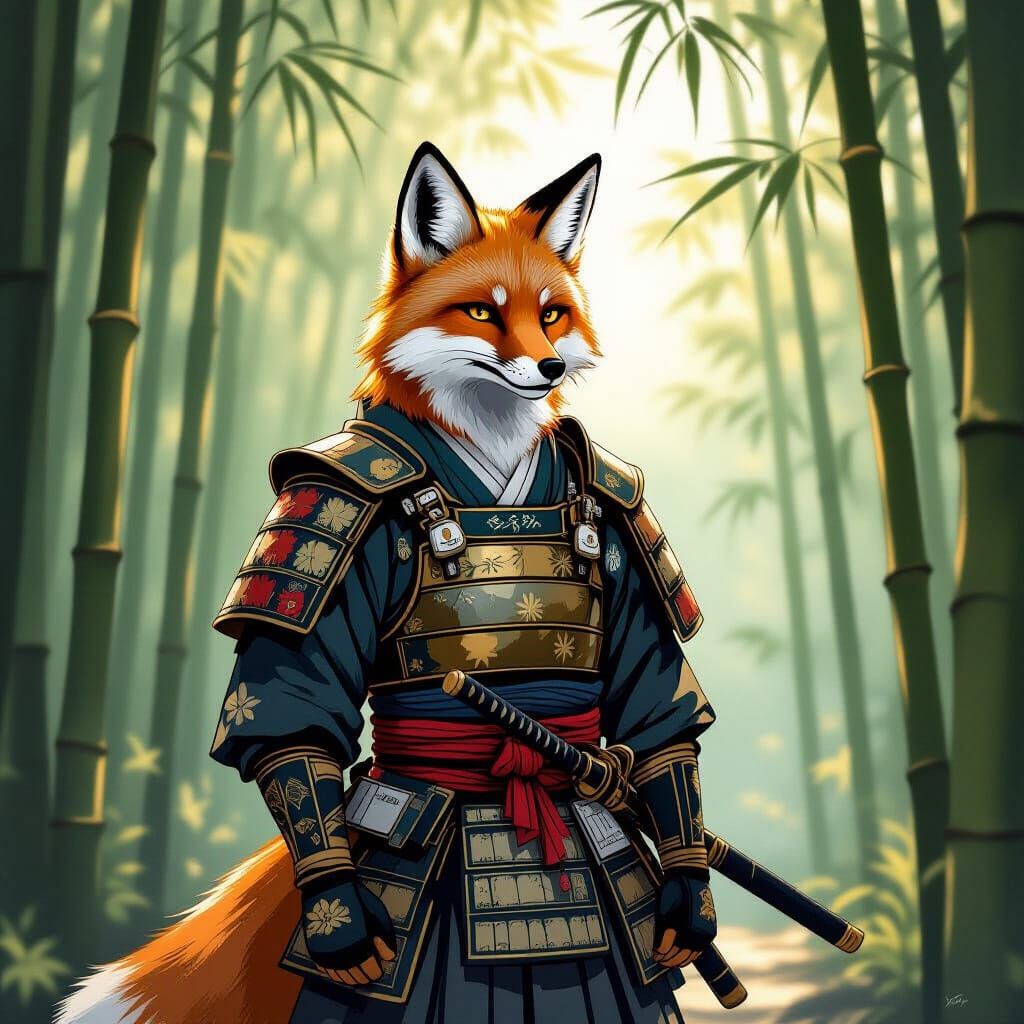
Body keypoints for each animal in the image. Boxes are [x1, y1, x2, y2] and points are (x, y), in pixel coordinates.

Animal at [56, 142, 613, 1024]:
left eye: (551, 314)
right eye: (482, 313)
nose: (550, 363)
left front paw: (688, 913)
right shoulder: (325, 509)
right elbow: (289, 718)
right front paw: (346, 928)